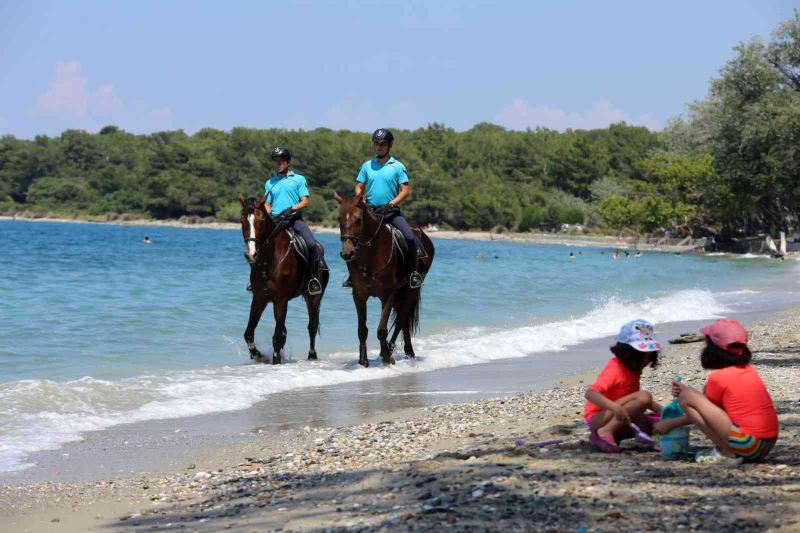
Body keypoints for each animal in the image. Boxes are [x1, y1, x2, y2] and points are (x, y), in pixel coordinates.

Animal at [238, 193, 328, 364]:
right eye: (242, 220)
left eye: (261, 221)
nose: (251, 255)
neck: (269, 260)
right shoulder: (259, 299)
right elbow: (249, 332)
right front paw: (258, 355)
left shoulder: (281, 300)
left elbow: (277, 336)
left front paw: (275, 360)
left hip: (314, 297)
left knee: (312, 326)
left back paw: (312, 356)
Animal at [332, 193, 434, 368]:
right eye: (339, 218)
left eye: (358, 220)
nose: (347, 253)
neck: (370, 255)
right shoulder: (359, 295)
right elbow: (362, 329)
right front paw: (363, 360)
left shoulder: (388, 295)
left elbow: (381, 329)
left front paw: (387, 358)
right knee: (403, 321)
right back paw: (403, 351)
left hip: (411, 290)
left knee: (401, 319)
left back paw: (394, 349)